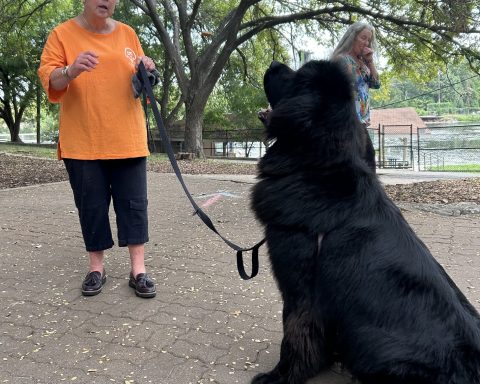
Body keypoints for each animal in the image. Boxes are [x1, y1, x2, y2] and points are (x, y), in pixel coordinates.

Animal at [251, 60, 480, 384]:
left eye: (297, 76)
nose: (273, 63)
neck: (317, 164)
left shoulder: (300, 285)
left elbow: (296, 333)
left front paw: (281, 375)